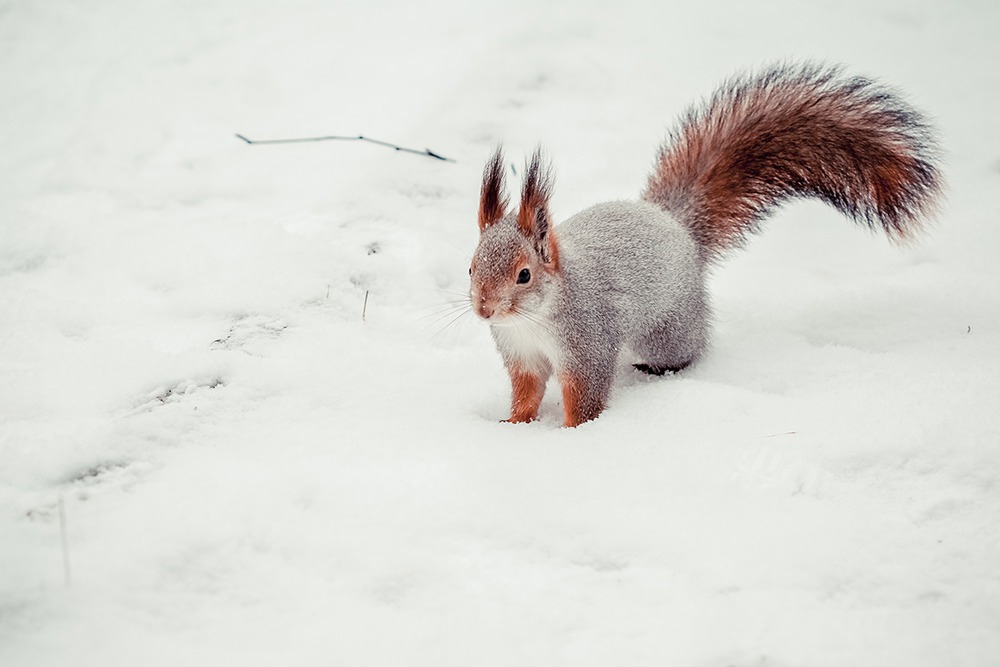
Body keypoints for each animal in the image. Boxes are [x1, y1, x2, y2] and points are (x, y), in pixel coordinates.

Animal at [464, 62, 940, 428]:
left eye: (525, 275)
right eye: (470, 268)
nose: (484, 310)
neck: (531, 320)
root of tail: (674, 224)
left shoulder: (587, 345)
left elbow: (586, 397)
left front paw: (572, 433)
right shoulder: (521, 357)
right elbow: (526, 393)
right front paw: (513, 424)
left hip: (668, 329)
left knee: (687, 348)